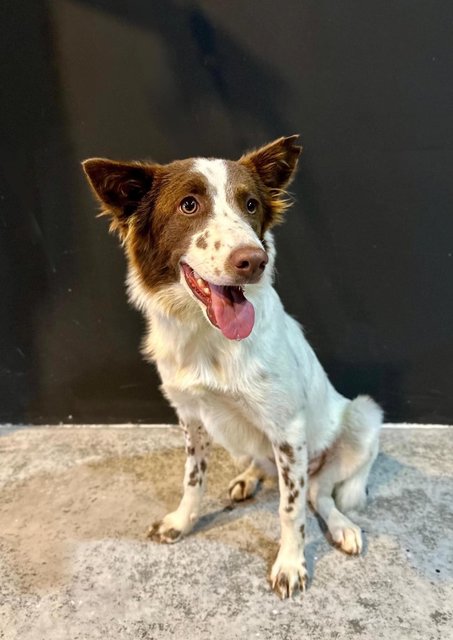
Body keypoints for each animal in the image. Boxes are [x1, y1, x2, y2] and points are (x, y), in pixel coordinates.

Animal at [81, 136, 382, 600]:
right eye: (188, 205)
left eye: (251, 204)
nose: (254, 261)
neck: (208, 338)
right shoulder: (191, 416)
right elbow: (193, 479)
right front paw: (182, 522)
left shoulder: (288, 431)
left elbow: (291, 509)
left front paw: (290, 563)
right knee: (264, 464)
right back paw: (249, 477)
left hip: (361, 419)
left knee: (319, 494)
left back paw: (341, 526)